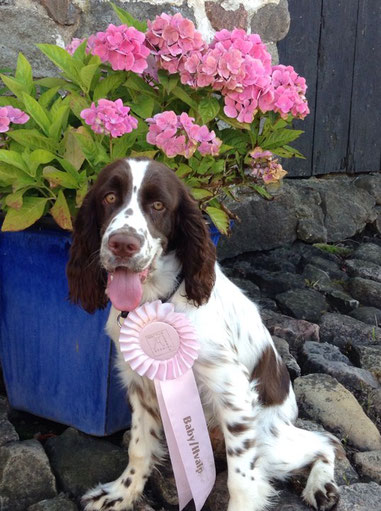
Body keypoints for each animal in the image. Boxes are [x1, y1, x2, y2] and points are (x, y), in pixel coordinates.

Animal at [66, 158, 342, 510]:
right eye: (109, 197)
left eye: (158, 205)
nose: (123, 244)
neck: (157, 299)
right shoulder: (141, 385)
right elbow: (139, 447)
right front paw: (120, 494)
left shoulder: (232, 390)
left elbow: (242, 479)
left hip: (272, 440)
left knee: (326, 440)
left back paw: (321, 486)